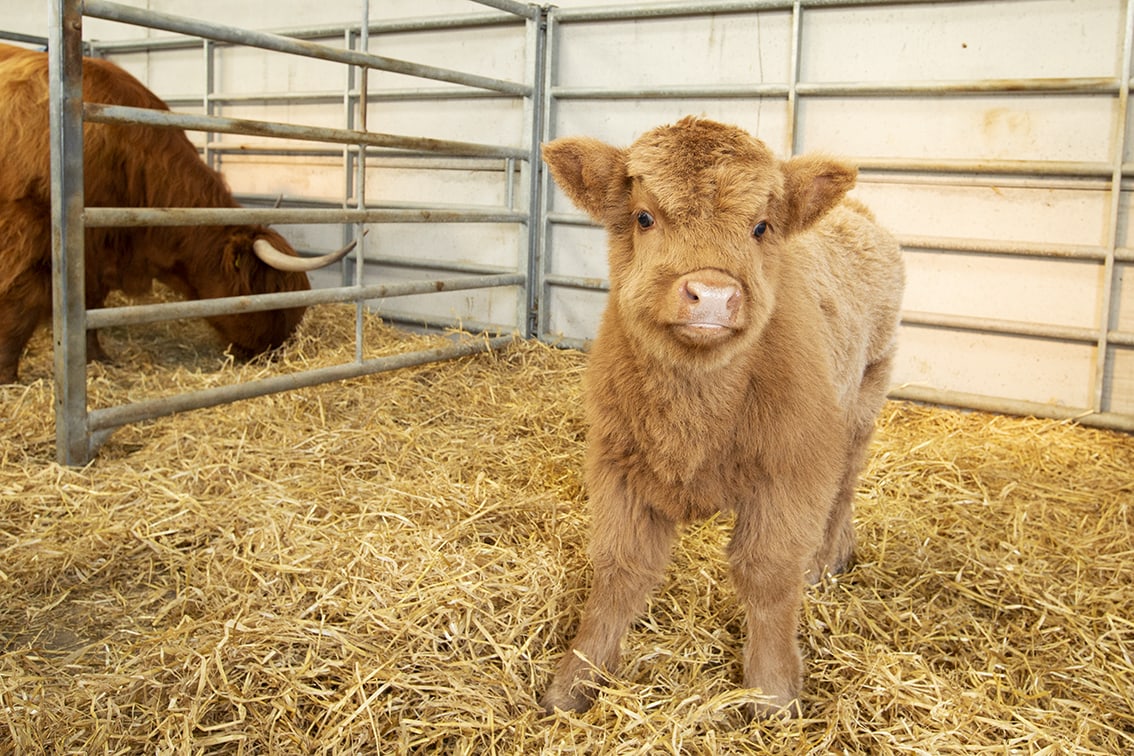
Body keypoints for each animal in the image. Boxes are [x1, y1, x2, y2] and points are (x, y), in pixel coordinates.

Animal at [539, 116, 902, 716]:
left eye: (761, 226)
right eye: (644, 216)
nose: (711, 294)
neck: (695, 417)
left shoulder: (793, 471)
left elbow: (768, 575)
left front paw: (772, 691)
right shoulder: (617, 465)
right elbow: (619, 571)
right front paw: (574, 681)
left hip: (864, 399)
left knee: (845, 487)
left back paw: (826, 560)